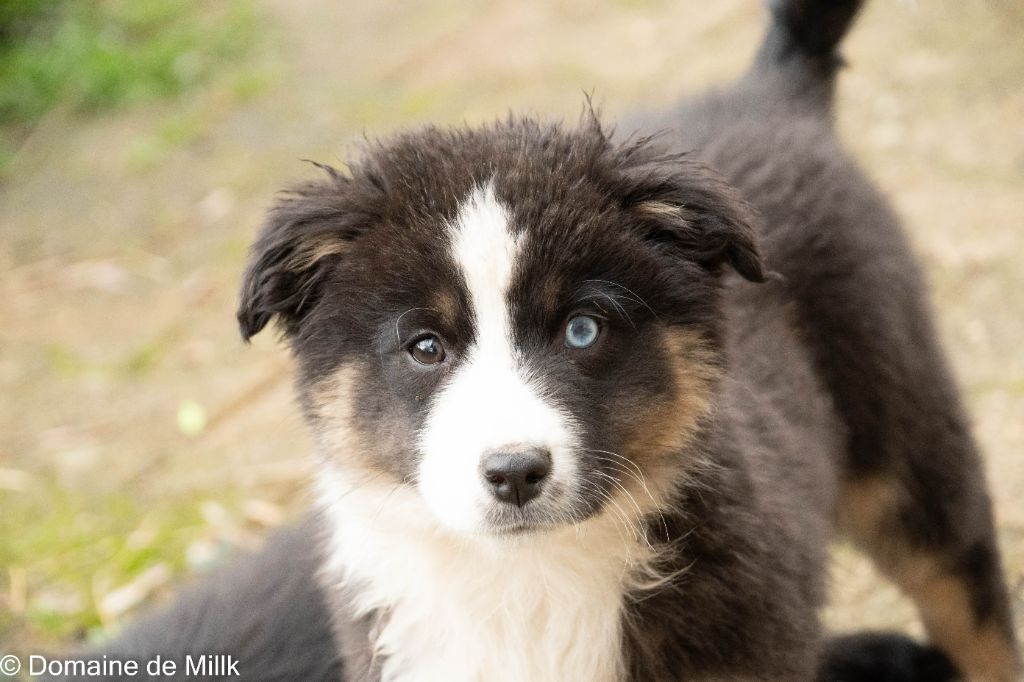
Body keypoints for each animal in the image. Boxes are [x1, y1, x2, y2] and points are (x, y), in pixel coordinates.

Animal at [61, 1, 1015, 679]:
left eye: (582, 329)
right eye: (425, 347)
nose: (515, 473)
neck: (528, 581)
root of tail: (770, 92)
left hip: (907, 449)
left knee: (975, 612)